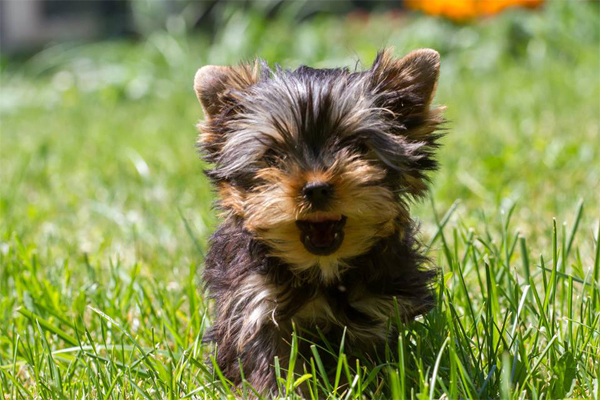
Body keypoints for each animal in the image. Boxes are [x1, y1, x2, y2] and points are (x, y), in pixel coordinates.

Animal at [195, 49, 442, 394]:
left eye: (358, 148)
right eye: (272, 157)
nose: (316, 188)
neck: (321, 270)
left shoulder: (374, 310)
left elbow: (366, 361)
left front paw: (368, 386)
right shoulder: (255, 302)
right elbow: (269, 361)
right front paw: (275, 391)